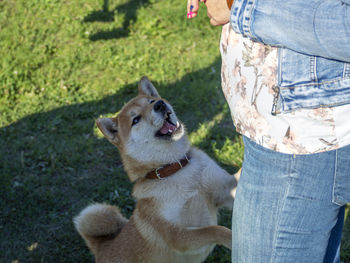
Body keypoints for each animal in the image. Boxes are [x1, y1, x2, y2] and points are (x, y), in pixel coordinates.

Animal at [73, 77, 238, 262]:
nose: (160, 104)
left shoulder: (224, 191)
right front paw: (234, 240)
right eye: (135, 120)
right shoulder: (176, 236)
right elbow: (214, 229)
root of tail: (101, 247)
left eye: (151, 101)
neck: (176, 169)